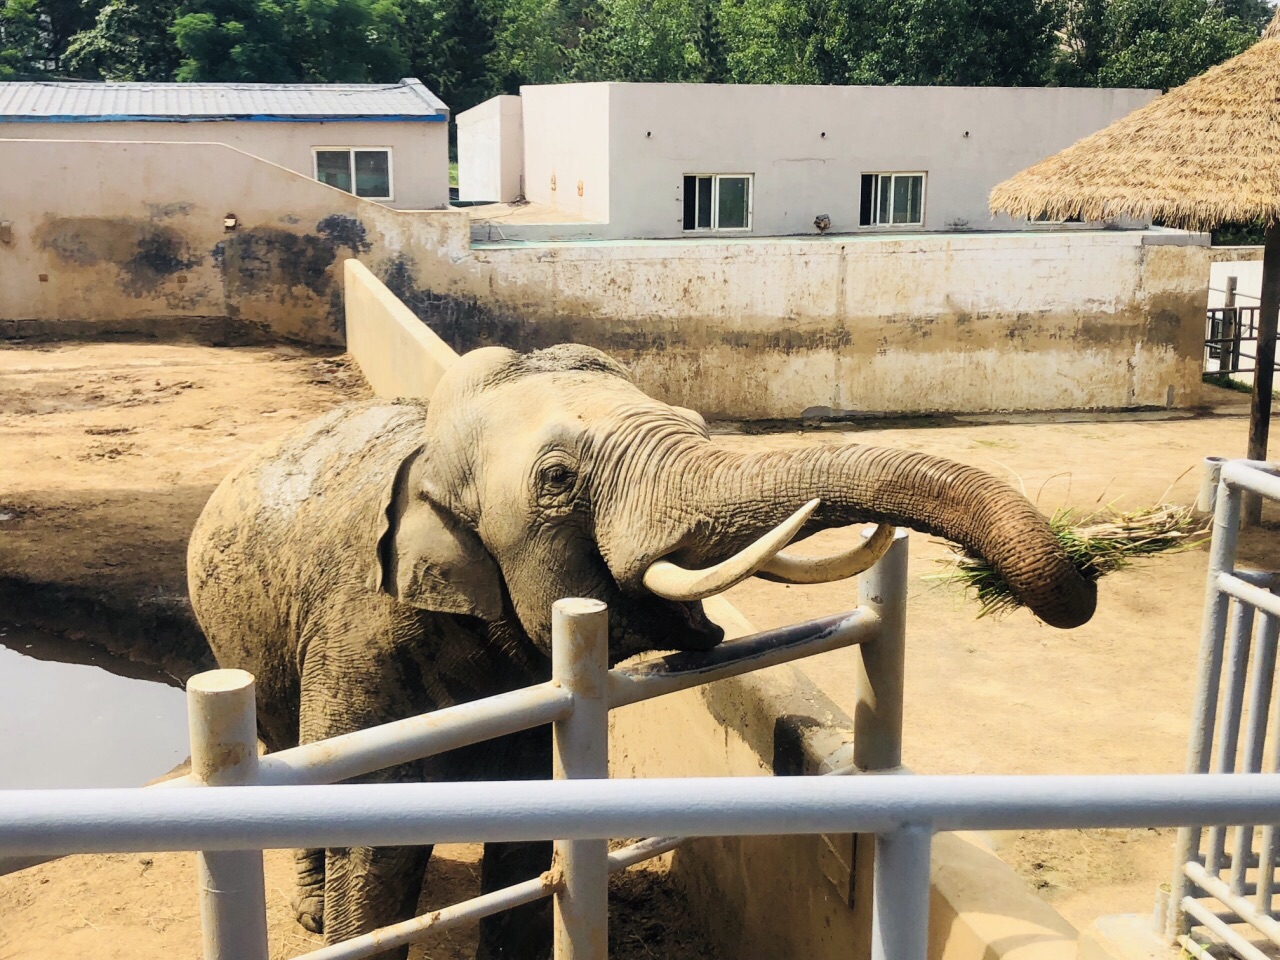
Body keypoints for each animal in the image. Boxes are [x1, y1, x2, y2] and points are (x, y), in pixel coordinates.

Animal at [185, 343, 1095, 957]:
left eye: (695, 426)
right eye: (556, 480)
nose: (1082, 578)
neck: (433, 457)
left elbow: (525, 817)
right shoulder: (363, 633)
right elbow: (377, 832)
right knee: (292, 750)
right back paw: (309, 912)